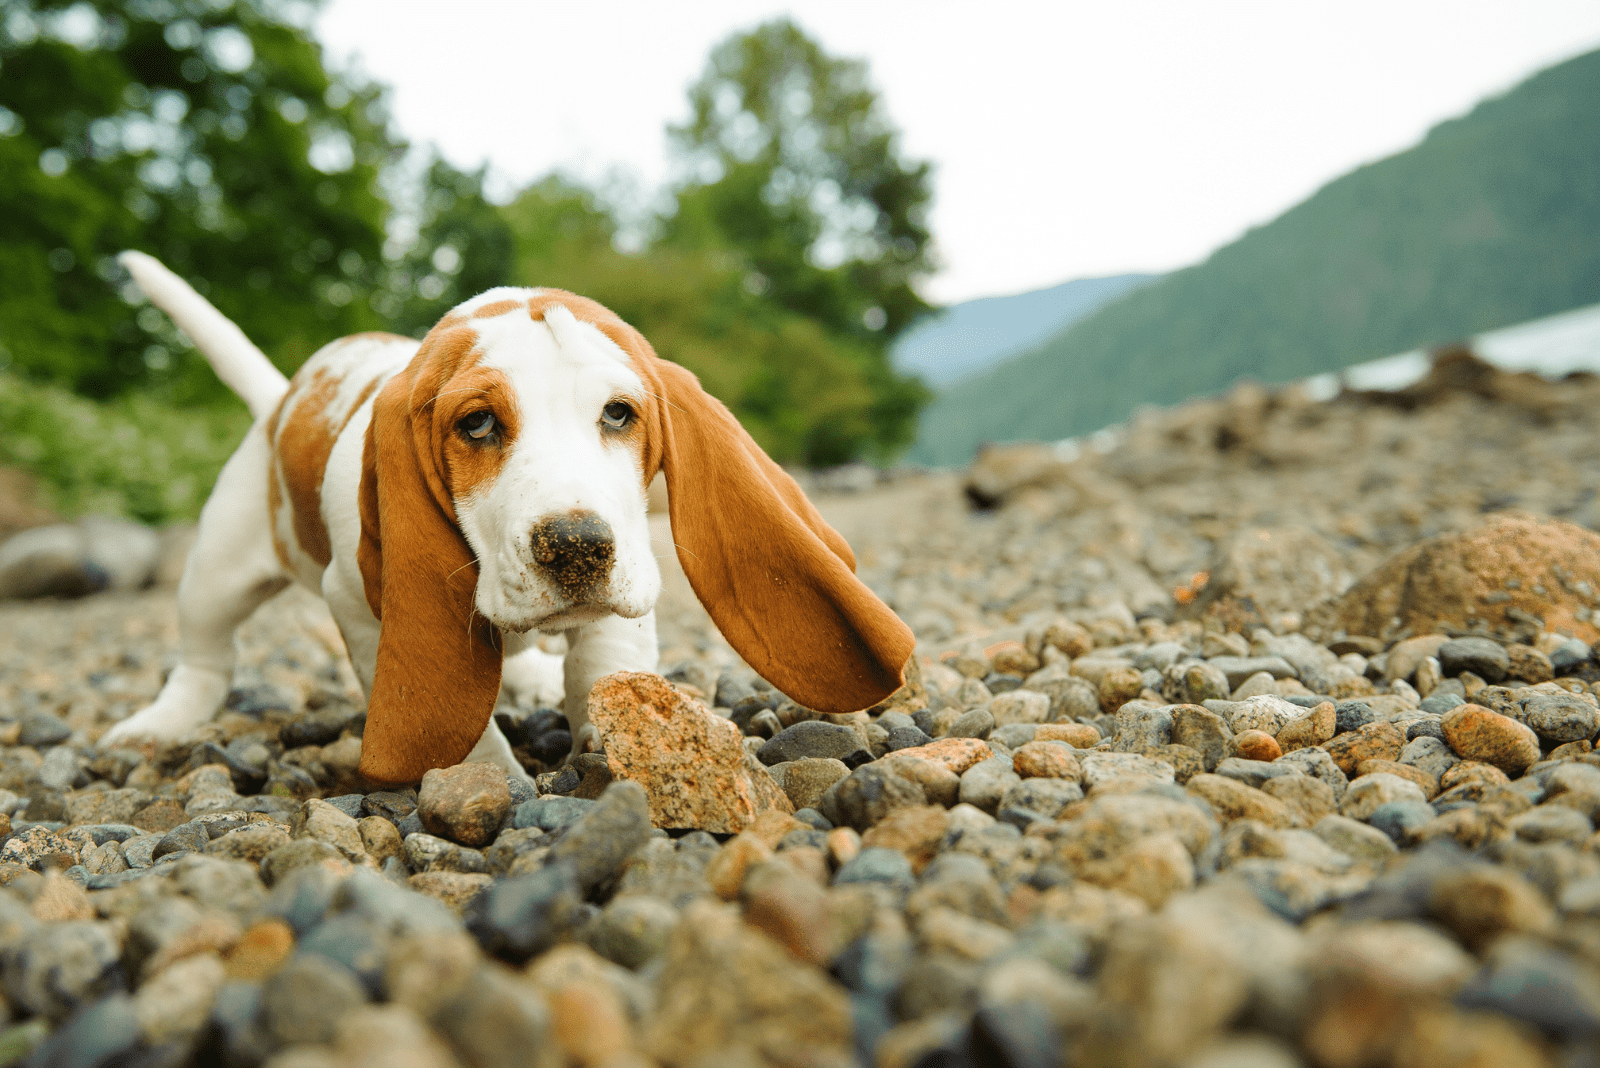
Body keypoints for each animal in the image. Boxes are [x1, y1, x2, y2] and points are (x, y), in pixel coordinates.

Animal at [106, 251, 915, 783]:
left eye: (619, 413)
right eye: (477, 425)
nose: (577, 546)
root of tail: (281, 400)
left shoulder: (633, 574)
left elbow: (604, 660)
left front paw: (613, 732)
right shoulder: (361, 605)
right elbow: (453, 722)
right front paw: (488, 785)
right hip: (218, 567)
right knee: (205, 659)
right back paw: (159, 726)